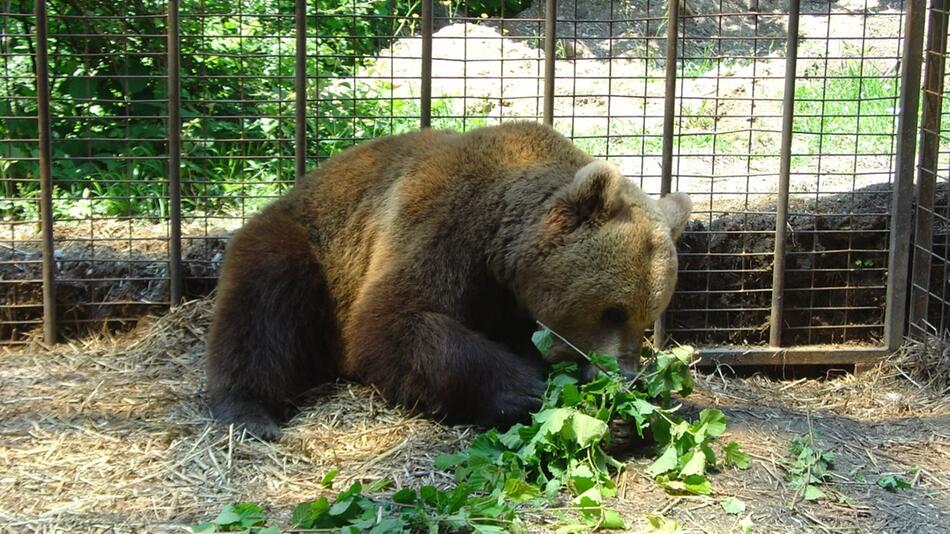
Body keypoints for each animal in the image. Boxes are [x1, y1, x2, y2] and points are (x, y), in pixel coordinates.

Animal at [206, 123, 692, 442]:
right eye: (613, 311)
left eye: (648, 317)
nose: (625, 375)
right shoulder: (440, 228)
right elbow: (390, 320)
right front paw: (530, 391)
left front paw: (627, 414)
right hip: (310, 244)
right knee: (262, 307)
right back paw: (248, 411)